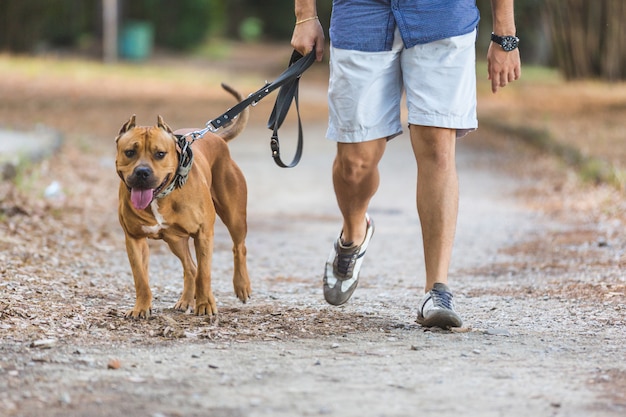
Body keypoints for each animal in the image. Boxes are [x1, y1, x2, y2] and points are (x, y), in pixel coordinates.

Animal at [113, 84, 250, 318]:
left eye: (160, 154)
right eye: (129, 152)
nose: (142, 172)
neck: (161, 197)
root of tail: (218, 138)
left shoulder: (203, 234)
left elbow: (205, 273)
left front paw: (205, 305)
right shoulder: (134, 239)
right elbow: (141, 278)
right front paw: (141, 307)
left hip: (234, 217)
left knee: (238, 247)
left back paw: (241, 286)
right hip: (175, 240)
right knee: (190, 267)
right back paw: (185, 300)